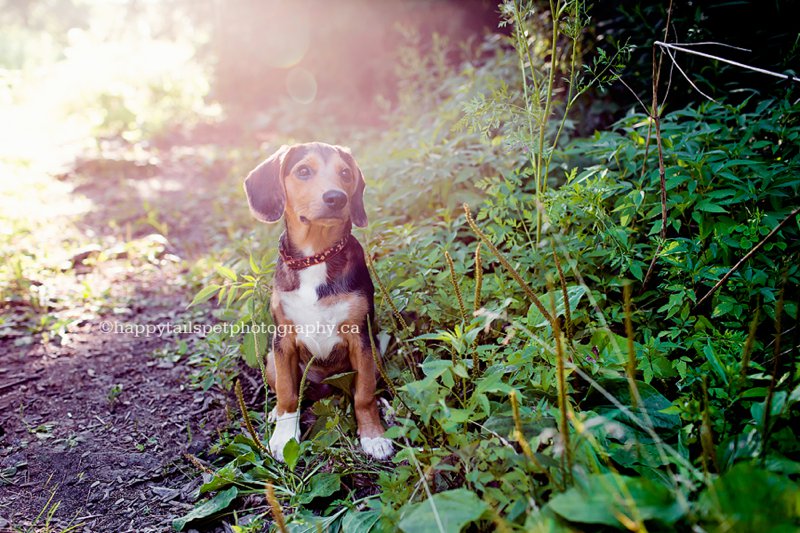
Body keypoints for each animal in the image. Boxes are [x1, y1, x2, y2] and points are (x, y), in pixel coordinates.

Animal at [244, 142, 394, 462]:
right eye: (303, 171)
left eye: (345, 173)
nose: (337, 198)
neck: (316, 256)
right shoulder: (284, 339)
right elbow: (288, 394)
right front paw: (284, 437)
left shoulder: (360, 338)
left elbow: (364, 395)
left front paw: (373, 436)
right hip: (272, 360)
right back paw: (275, 414)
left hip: (376, 355)